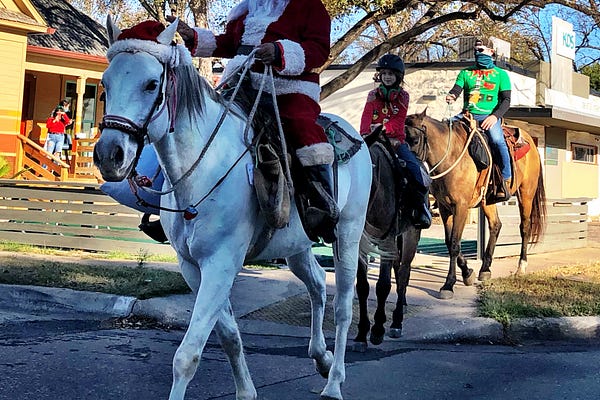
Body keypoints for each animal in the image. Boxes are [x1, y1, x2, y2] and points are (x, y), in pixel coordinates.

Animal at [93, 19, 371, 400]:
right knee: (316, 283)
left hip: (348, 234)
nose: (109, 155)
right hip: (296, 246)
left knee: (343, 308)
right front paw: (246, 391)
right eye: (105, 83)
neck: (203, 169)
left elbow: (188, 355)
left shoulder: (221, 262)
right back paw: (321, 357)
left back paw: (334, 382)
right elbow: (228, 335)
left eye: (151, 84)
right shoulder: (193, 267)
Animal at [353, 135, 421, 352]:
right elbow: (363, 286)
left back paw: (397, 322)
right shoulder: (359, 245)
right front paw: (361, 334)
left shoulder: (387, 242)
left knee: (403, 275)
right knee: (399, 271)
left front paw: (377, 330)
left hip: (409, 237)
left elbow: (383, 285)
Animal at [404, 109, 546, 299]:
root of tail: (530, 140)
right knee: (495, 225)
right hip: (488, 200)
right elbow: (449, 242)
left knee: (525, 227)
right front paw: (467, 273)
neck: (451, 156)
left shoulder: (461, 207)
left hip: (526, 194)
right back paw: (485, 269)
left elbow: (455, 243)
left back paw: (521, 266)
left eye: (415, 140)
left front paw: (448, 285)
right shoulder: (444, 207)